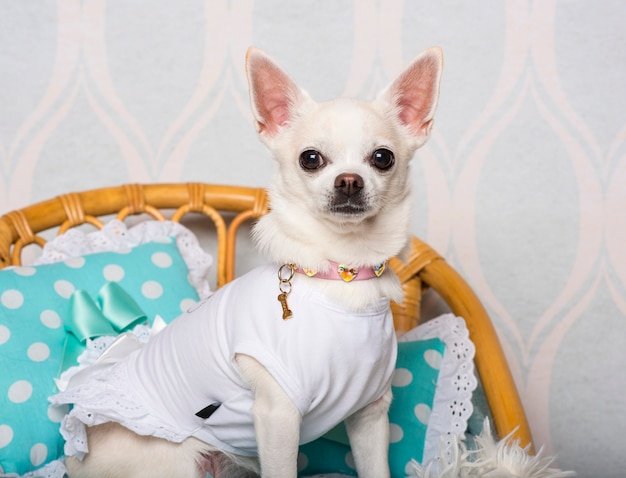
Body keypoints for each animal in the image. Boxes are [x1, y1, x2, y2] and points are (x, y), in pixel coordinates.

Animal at [54, 45, 444, 478]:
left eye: (382, 158)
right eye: (311, 158)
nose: (348, 181)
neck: (341, 272)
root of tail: (74, 461)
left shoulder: (370, 414)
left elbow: (376, 468)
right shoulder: (278, 416)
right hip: (176, 462)